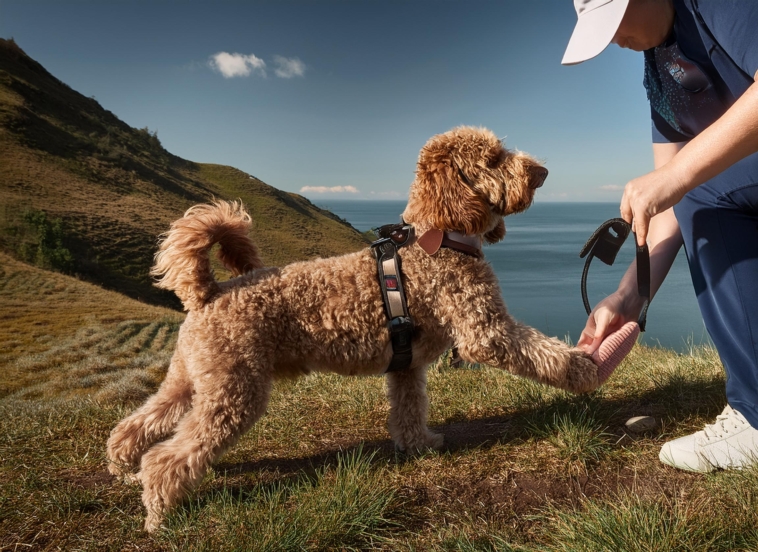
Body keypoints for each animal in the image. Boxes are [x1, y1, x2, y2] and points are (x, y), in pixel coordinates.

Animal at [107, 125, 604, 532]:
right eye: (495, 158)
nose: (542, 172)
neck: (439, 235)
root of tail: (207, 291)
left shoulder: (407, 365)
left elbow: (409, 410)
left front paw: (419, 444)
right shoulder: (486, 330)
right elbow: (540, 352)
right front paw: (584, 369)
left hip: (193, 378)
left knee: (140, 421)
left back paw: (122, 464)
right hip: (234, 391)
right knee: (169, 456)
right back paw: (160, 510)